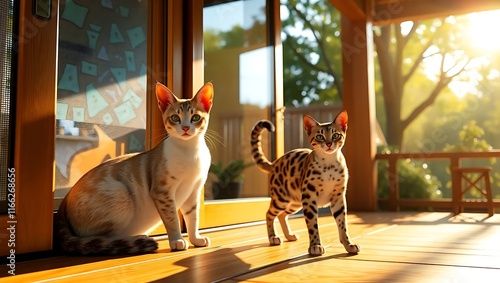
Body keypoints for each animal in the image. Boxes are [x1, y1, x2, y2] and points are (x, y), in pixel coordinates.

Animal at [56, 82, 213, 255]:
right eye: (175, 118)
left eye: (195, 117)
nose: (185, 128)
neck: (190, 152)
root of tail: (65, 199)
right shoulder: (162, 192)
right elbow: (172, 220)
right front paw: (177, 240)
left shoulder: (193, 192)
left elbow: (193, 219)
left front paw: (196, 239)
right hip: (120, 193)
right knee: (100, 239)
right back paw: (137, 239)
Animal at [252, 111, 362, 258]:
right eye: (320, 136)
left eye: (336, 135)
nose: (328, 144)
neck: (329, 166)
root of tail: (275, 163)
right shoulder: (309, 198)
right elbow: (312, 225)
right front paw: (315, 246)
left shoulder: (338, 197)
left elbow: (342, 225)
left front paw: (349, 245)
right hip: (282, 199)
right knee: (269, 214)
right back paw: (273, 237)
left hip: (295, 202)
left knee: (282, 215)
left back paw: (289, 235)